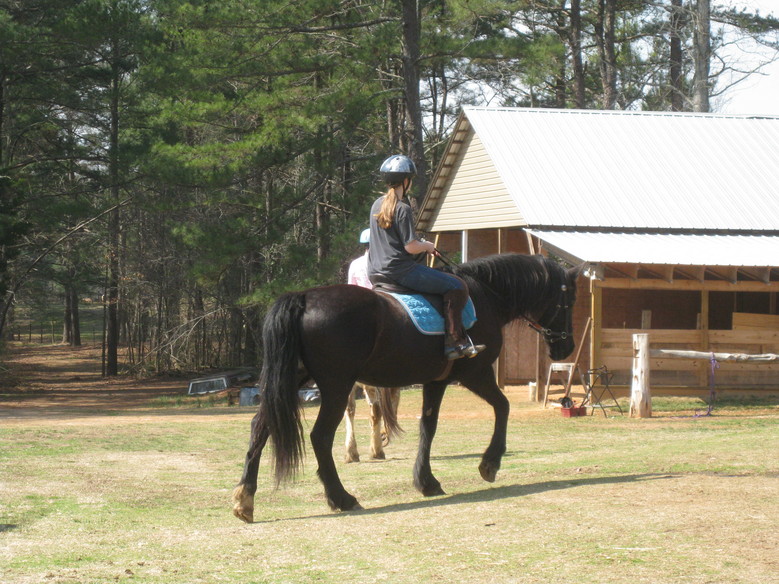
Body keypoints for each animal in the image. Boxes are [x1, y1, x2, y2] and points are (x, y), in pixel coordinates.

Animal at [233, 253, 580, 522]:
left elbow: (428, 426)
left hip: (291, 381)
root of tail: (304, 297)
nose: (566, 348)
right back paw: (341, 497)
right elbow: (502, 407)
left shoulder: (436, 381)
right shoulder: (474, 373)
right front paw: (489, 463)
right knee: (320, 436)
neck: (487, 296)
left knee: (260, 426)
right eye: (569, 302)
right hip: (336, 386)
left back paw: (245, 499)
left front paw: (426, 481)